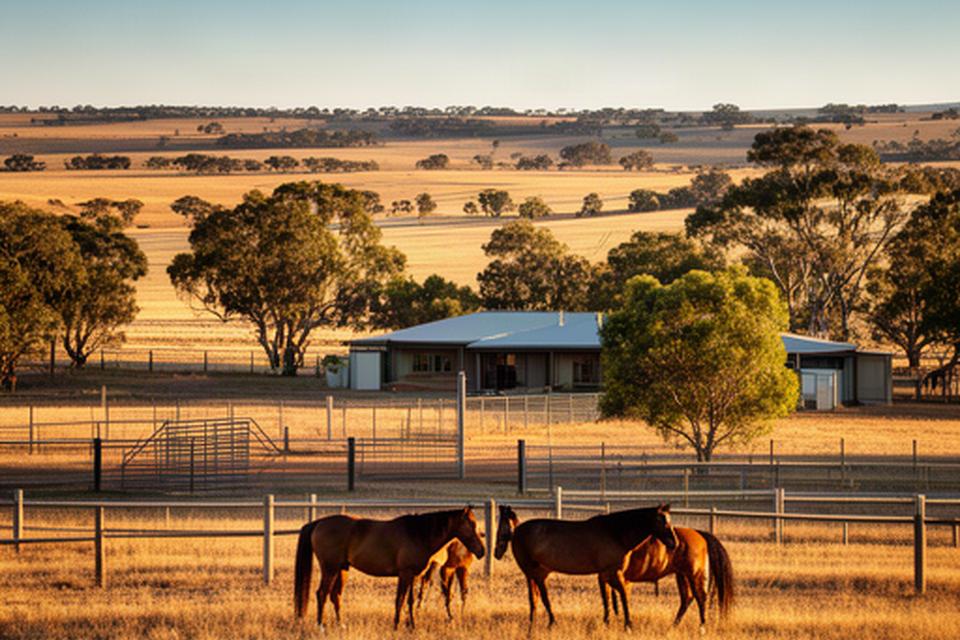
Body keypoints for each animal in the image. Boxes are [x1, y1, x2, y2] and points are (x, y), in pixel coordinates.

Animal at [294, 507, 486, 629]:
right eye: (470, 526)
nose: (481, 551)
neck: (419, 534)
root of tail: (318, 523)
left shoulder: (413, 575)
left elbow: (410, 601)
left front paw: (412, 625)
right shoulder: (405, 574)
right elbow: (400, 600)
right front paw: (396, 625)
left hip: (342, 570)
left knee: (335, 596)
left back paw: (340, 625)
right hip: (330, 569)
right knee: (322, 594)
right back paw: (321, 626)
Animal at [494, 503, 677, 629]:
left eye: (669, 520)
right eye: (661, 521)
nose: (674, 543)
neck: (615, 533)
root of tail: (517, 531)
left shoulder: (604, 575)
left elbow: (607, 598)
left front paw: (608, 622)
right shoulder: (613, 573)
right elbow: (623, 596)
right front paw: (628, 624)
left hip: (539, 573)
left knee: (536, 598)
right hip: (533, 573)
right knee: (539, 597)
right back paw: (550, 622)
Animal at [606, 526, 734, 629]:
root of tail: (699, 534)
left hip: (694, 574)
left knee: (700, 598)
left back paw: (701, 627)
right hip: (682, 575)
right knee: (687, 598)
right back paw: (674, 626)